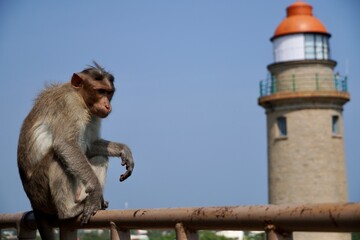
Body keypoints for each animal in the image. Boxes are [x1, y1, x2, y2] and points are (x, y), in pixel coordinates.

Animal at [17, 61, 134, 238]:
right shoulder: (70, 104)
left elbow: (90, 147)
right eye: (100, 91)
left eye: (109, 92)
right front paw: (96, 191)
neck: (80, 97)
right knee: (56, 158)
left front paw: (124, 150)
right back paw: (69, 211)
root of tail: (32, 202)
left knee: (100, 158)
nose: (107, 105)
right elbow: (66, 144)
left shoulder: (93, 114)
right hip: (41, 194)